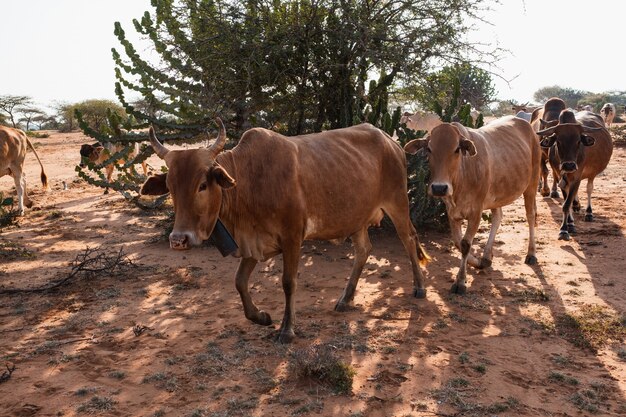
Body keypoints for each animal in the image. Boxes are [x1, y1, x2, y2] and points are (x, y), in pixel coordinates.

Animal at [139, 118, 426, 342]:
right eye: (170, 187)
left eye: (202, 185)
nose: (179, 240)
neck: (249, 181)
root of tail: (391, 142)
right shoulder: (253, 242)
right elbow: (239, 282)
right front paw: (261, 317)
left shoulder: (292, 237)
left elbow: (288, 282)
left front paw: (287, 330)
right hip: (356, 218)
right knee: (364, 250)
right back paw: (345, 299)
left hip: (398, 203)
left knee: (409, 239)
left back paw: (420, 288)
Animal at [402, 115, 540, 294]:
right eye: (429, 149)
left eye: (456, 149)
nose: (439, 187)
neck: (462, 175)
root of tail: (526, 125)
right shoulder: (452, 212)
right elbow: (458, 242)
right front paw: (479, 263)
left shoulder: (476, 212)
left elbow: (466, 244)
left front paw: (460, 281)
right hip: (496, 195)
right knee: (498, 217)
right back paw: (487, 256)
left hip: (532, 184)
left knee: (531, 216)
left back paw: (531, 254)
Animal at [532, 109, 612, 240]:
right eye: (558, 141)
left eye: (578, 141)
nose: (569, 166)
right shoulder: (562, 178)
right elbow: (566, 203)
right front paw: (569, 224)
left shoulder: (576, 177)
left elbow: (566, 203)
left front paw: (564, 229)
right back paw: (576, 205)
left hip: (591, 174)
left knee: (589, 189)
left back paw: (588, 213)